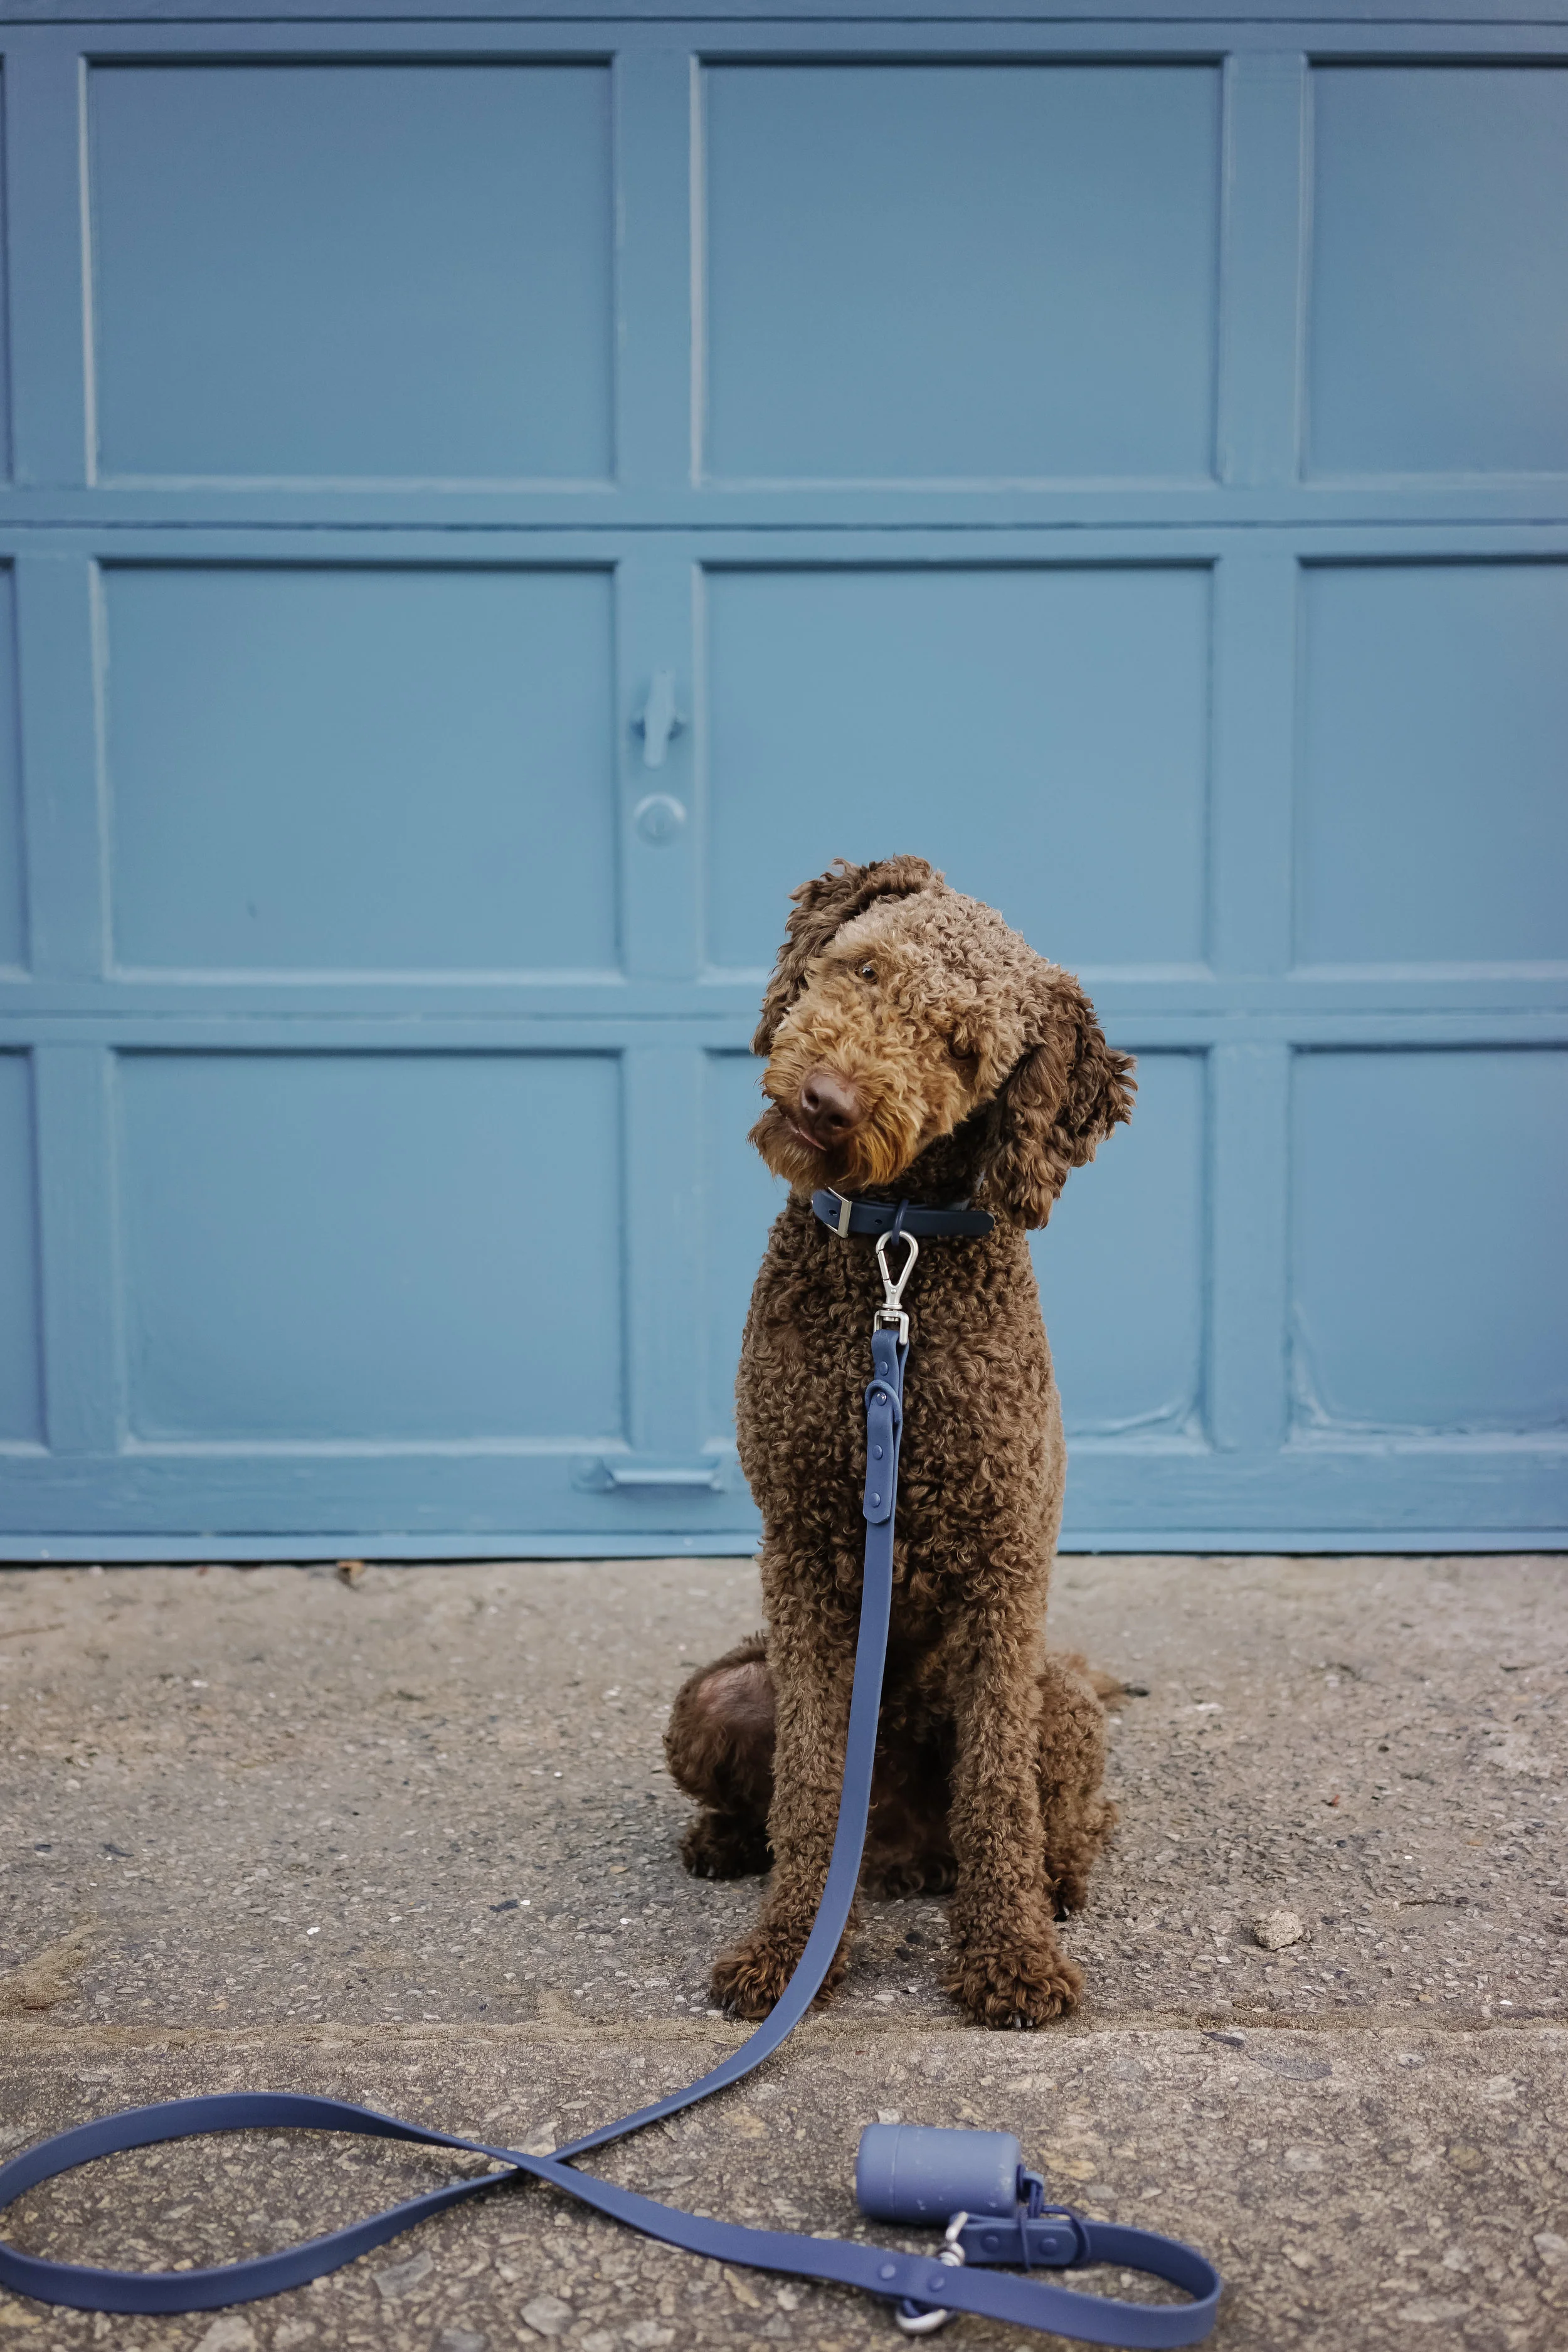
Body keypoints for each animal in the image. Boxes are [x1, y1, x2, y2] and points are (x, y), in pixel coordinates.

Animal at [667, 856, 1133, 2032]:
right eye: (866, 968)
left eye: (963, 1048)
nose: (826, 1101)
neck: (895, 1258)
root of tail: (901, 1854)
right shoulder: (804, 1548)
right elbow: (810, 1780)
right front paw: (792, 1953)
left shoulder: (1007, 1566)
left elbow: (999, 1793)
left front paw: (1011, 1955)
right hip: (715, 1691)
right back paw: (729, 1842)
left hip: (1060, 1700)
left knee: (1057, 1811)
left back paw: (1053, 1881)